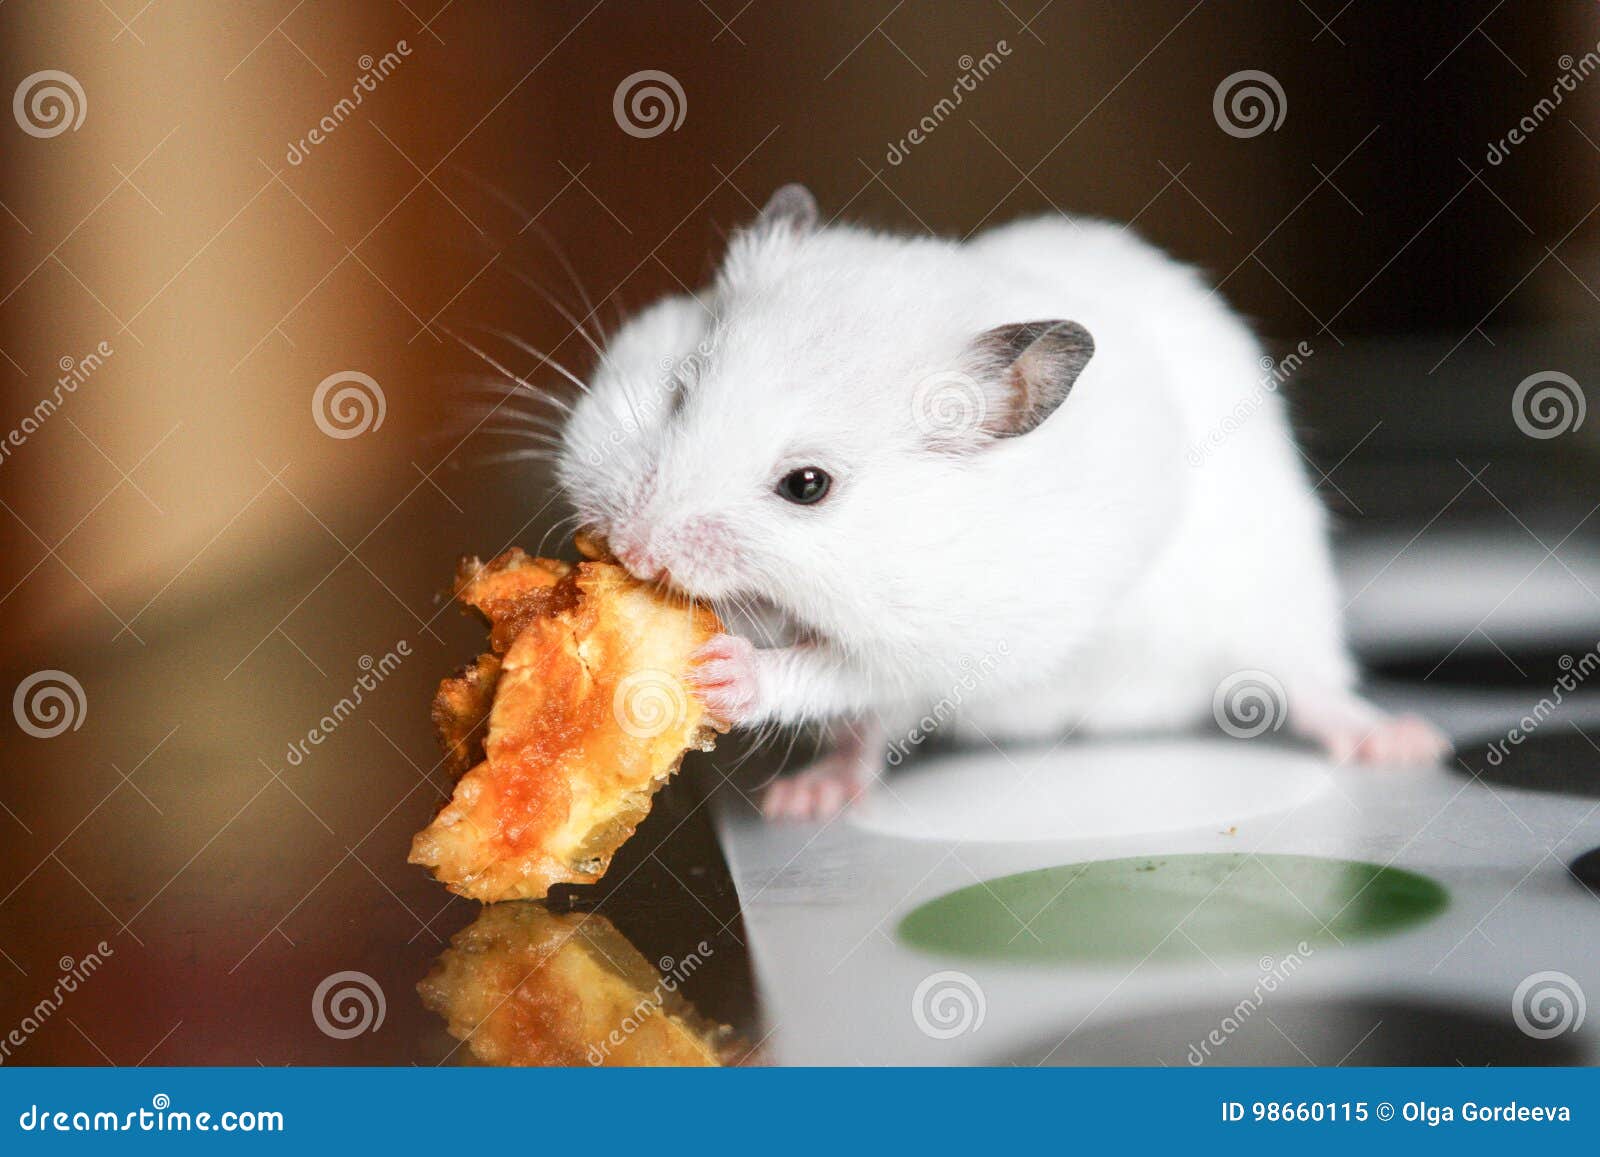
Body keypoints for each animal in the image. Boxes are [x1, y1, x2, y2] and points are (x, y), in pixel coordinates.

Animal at [553, 184, 1449, 821]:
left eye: (807, 486)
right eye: (678, 391)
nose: (629, 549)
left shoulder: (945, 636)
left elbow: (836, 669)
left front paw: (722, 670)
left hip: (1282, 603)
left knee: (1314, 686)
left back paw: (1405, 741)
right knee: (868, 740)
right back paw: (805, 798)